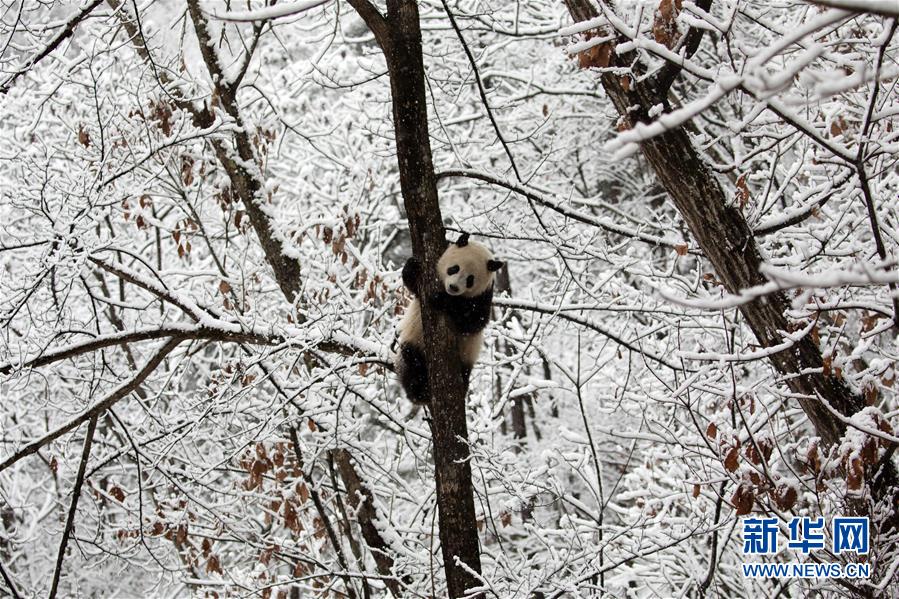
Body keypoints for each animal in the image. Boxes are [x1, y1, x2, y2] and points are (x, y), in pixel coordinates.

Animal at [396, 232, 502, 406]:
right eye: (454, 268)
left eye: (470, 279)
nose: (453, 288)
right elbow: (413, 285)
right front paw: (413, 265)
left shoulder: (484, 296)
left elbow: (474, 321)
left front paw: (441, 299)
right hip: (413, 340)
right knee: (412, 359)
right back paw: (418, 390)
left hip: (467, 355)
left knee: (464, 371)